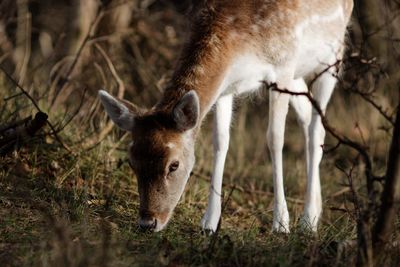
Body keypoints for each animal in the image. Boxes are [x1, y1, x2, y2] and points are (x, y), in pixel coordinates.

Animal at [97, 0, 354, 233]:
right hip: (298, 77)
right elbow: (220, 142)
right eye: (132, 161)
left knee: (316, 130)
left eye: (174, 165)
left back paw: (308, 220)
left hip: (332, 57)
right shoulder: (227, 87)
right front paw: (209, 222)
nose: (147, 223)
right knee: (309, 119)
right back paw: (316, 212)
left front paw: (281, 223)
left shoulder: (283, 66)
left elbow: (274, 139)